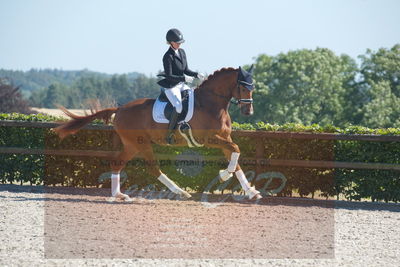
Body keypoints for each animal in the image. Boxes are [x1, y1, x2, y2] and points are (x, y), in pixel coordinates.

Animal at [55, 66, 262, 202]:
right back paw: (180, 192)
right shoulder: (209, 139)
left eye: (253, 87)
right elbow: (236, 150)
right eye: (243, 86)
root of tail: (120, 108)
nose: (249, 112)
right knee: (153, 168)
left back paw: (119, 195)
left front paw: (251, 191)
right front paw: (223, 176)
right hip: (140, 143)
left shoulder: (224, 138)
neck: (211, 104)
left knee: (118, 163)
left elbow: (235, 157)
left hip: (132, 145)